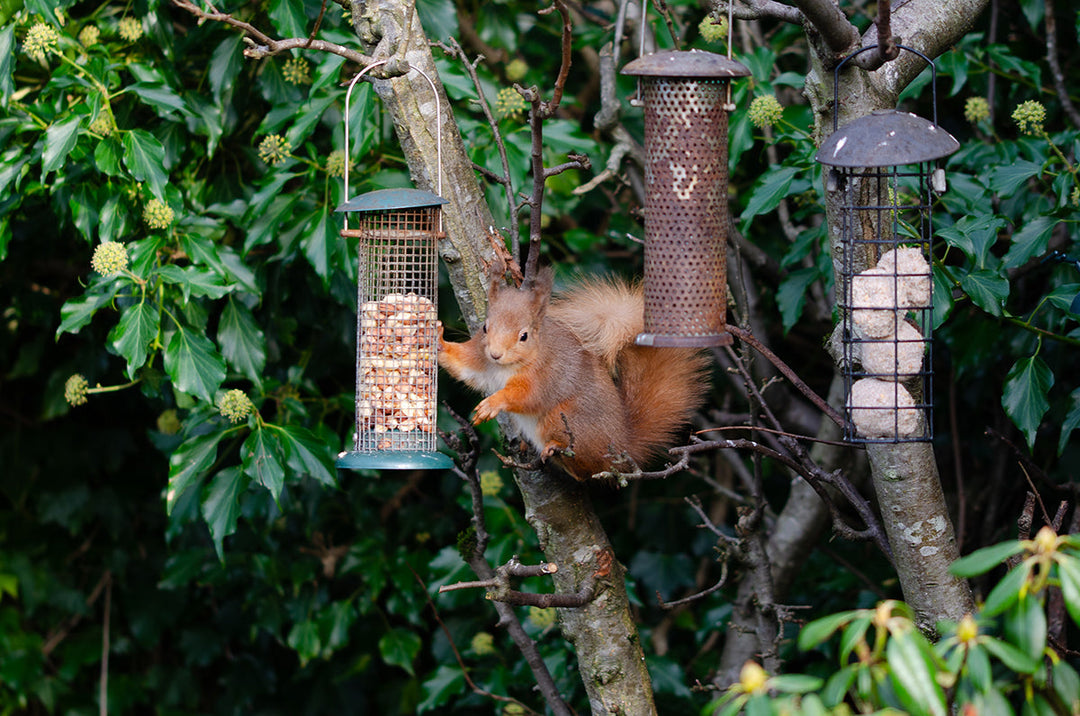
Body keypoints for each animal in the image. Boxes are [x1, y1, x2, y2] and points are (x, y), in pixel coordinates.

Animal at [437, 261, 711, 480]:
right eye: (484, 327)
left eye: (524, 336)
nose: (495, 353)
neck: (504, 367)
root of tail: (622, 445)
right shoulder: (480, 360)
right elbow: (463, 366)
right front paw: (436, 338)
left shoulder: (545, 375)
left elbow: (526, 395)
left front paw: (493, 403)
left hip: (564, 419)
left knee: (586, 470)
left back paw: (554, 449)